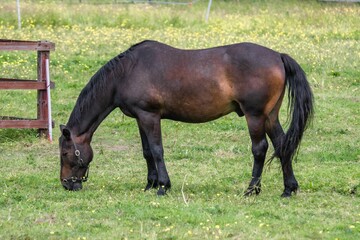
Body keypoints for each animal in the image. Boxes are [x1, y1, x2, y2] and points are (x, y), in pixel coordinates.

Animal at [58, 39, 312, 197]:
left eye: (65, 153)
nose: (66, 184)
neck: (128, 71)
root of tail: (278, 56)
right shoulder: (140, 118)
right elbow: (147, 152)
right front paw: (150, 184)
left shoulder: (150, 116)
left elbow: (157, 150)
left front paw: (163, 186)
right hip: (270, 116)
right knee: (282, 145)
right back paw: (288, 189)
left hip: (255, 116)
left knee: (260, 149)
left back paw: (251, 190)